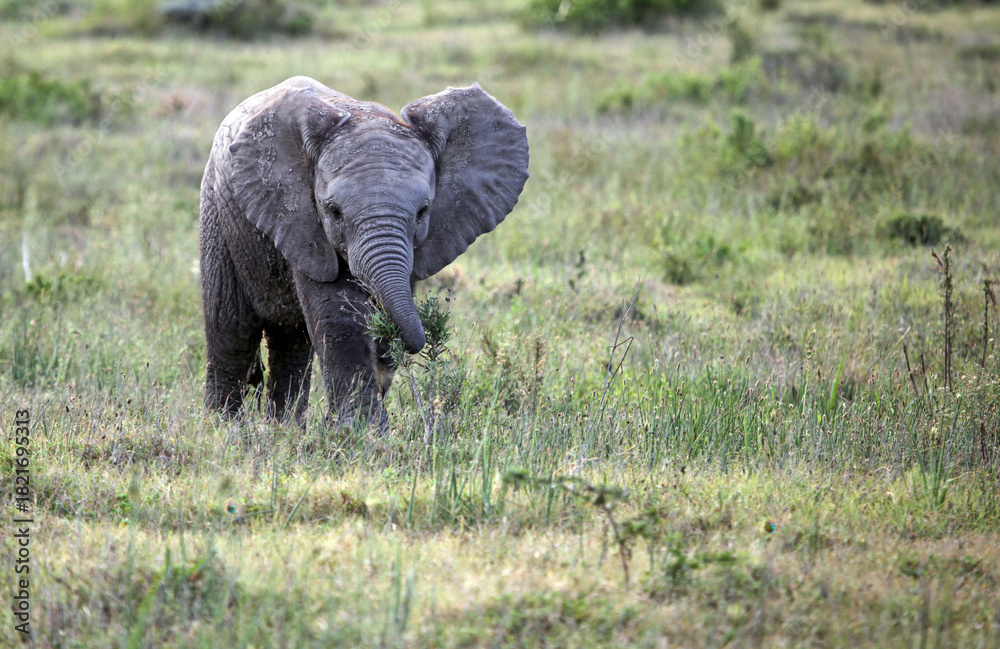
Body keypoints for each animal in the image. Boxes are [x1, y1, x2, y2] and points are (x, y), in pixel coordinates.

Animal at [198, 76, 529, 428]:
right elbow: (339, 316)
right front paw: (362, 432)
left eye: (423, 211)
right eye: (334, 212)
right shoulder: (303, 224)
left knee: (291, 340)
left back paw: (285, 430)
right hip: (218, 216)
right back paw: (222, 428)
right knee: (231, 332)